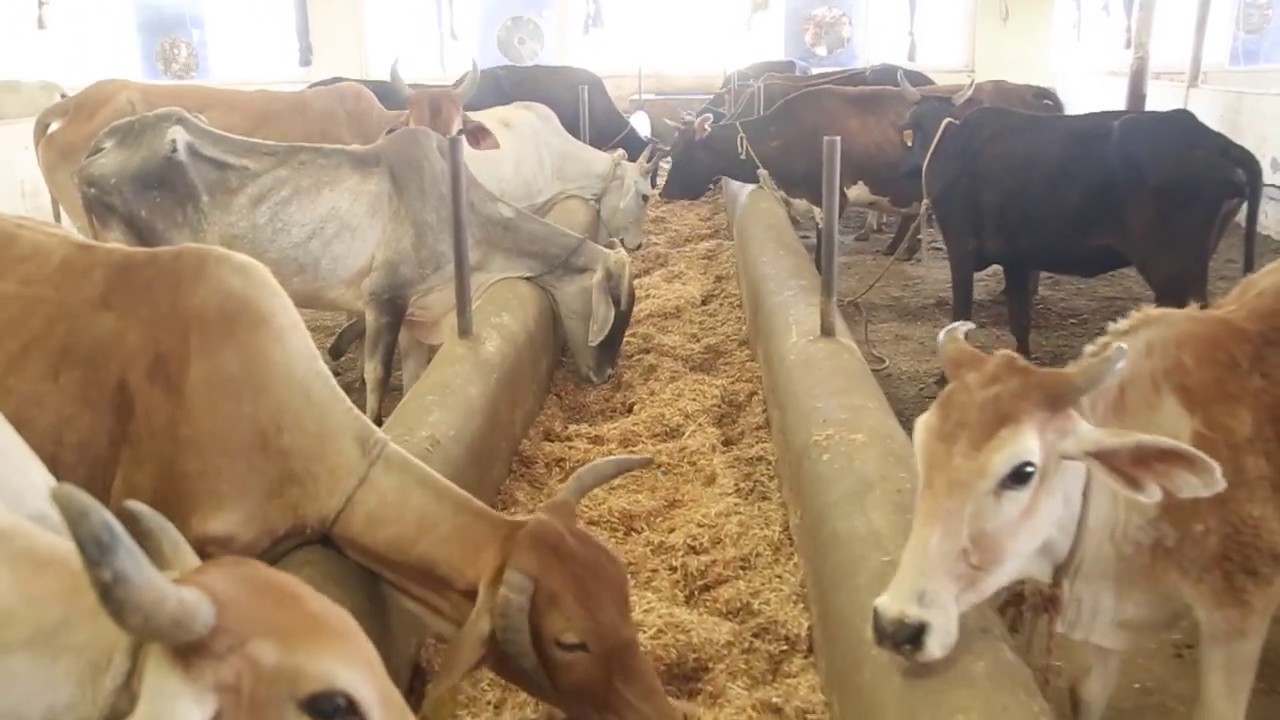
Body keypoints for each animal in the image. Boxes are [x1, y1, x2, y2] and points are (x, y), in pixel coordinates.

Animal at [75, 109, 637, 425]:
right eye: (616, 307)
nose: (605, 374)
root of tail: (102, 143)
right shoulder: (384, 298)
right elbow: (375, 377)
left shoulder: (416, 312)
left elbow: (415, 379)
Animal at [896, 76, 1261, 360]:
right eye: (913, 127)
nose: (914, 171)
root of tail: (1207, 136)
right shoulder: (1017, 256)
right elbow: (1019, 318)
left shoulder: (961, 247)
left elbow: (959, 317)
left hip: (1170, 269)